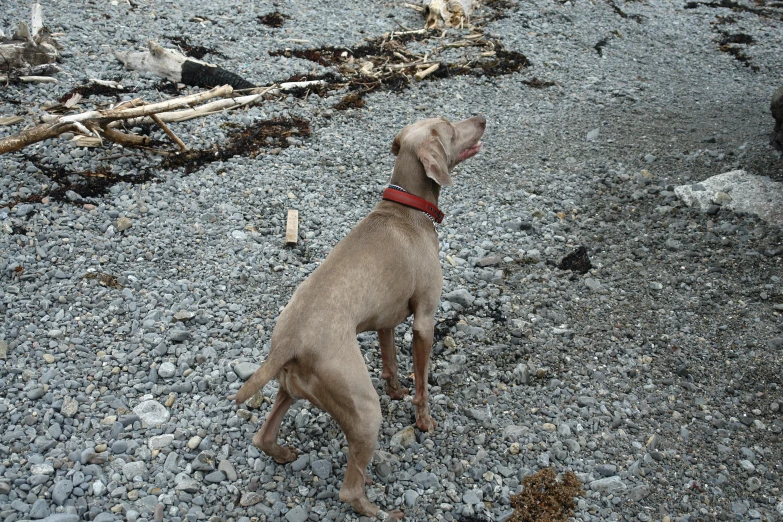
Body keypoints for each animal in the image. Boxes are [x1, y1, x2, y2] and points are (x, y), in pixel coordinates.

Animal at [230, 114, 486, 516]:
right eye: (449, 125)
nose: (481, 118)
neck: (407, 209)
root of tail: (288, 342)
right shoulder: (424, 319)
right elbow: (422, 383)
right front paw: (423, 420)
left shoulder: (386, 322)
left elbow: (391, 362)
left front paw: (396, 391)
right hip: (364, 409)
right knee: (349, 490)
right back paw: (383, 511)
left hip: (290, 388)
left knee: (263, 435)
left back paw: (284, 453)